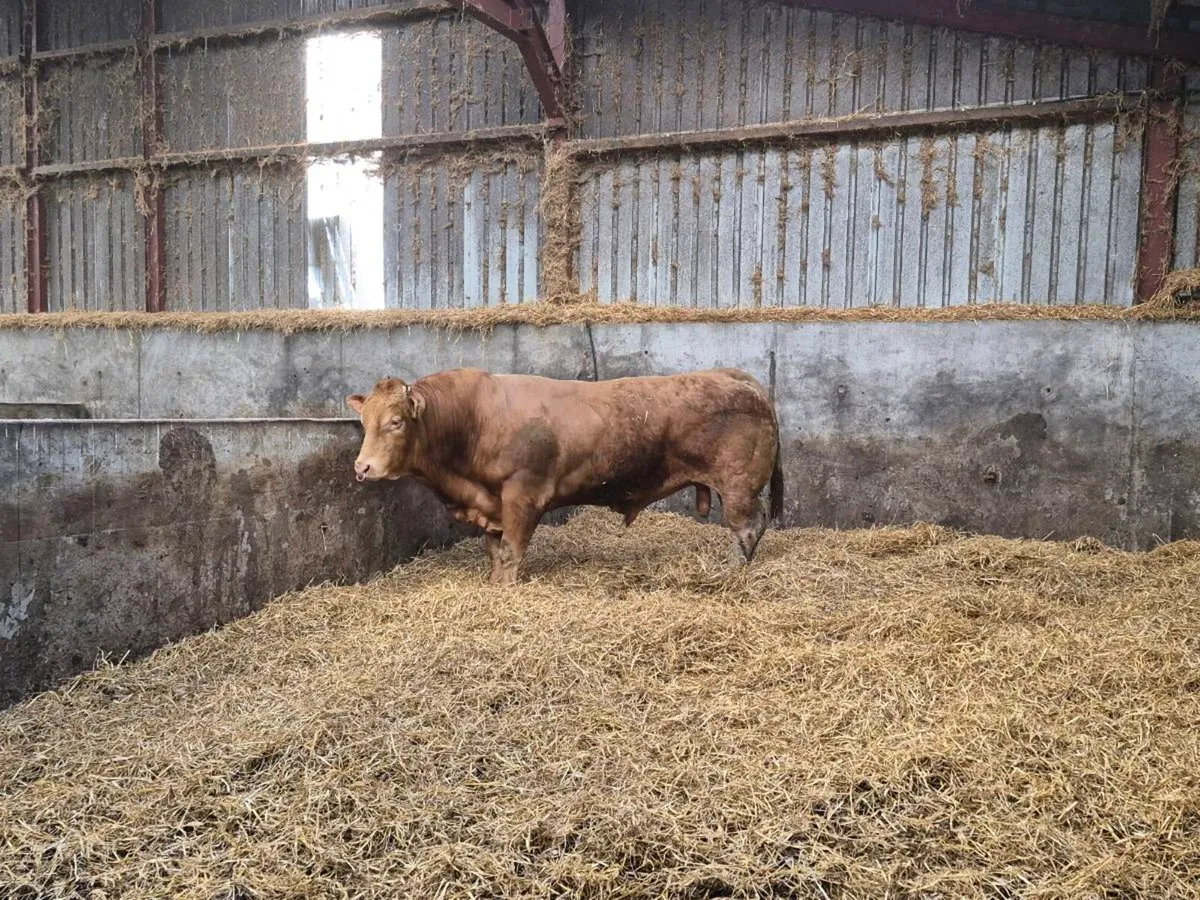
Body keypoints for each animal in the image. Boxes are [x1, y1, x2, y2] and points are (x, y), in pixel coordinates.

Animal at [347, 367, 784, 584]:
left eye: (396, 421)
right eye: (363, 421)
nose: (362, 467)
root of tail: (732, 376)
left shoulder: (522, 496)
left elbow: (512, 552)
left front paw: (506, 590)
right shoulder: (491, 505)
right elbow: (494, 552)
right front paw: (493, 585)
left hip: (738, 486)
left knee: (747, 527)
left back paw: (732, 570)